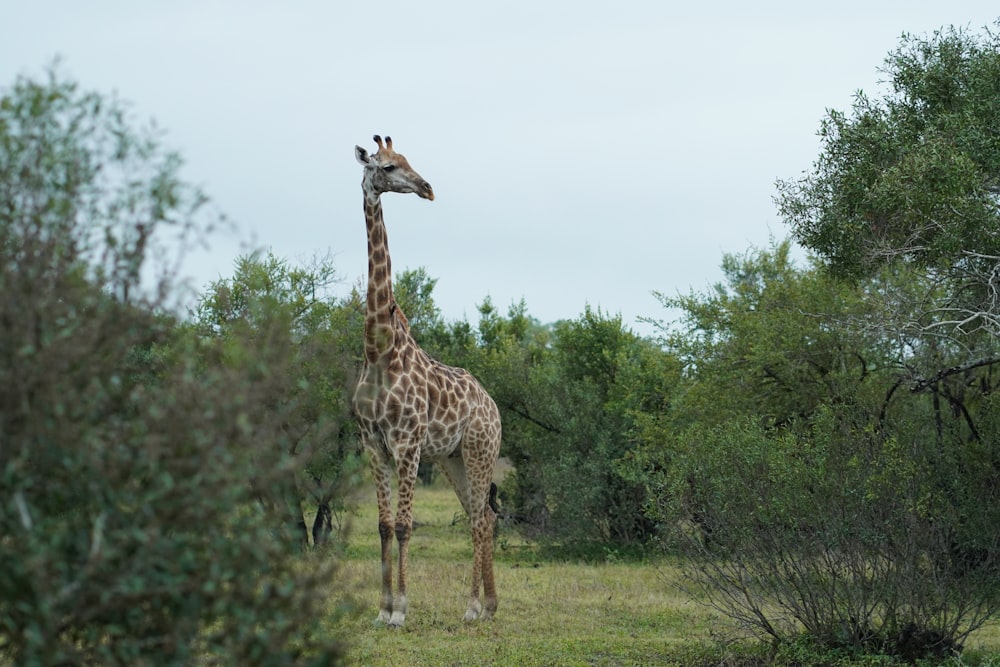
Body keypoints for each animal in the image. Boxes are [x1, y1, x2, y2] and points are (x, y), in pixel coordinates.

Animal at [356, 134, 504, 628]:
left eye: (407, 160)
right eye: (386, 165)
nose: (427, 187)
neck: (378, 350)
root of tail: (493, 404)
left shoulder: (407, 443)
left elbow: (404, 526)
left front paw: (401, 610)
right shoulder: (373, 444)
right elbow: (383, 526)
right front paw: (382, 609)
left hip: (480, 450)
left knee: (479, 519)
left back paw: (473, 607)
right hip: (452, 459)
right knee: (484, 517)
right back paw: (489, 605)